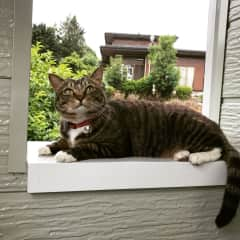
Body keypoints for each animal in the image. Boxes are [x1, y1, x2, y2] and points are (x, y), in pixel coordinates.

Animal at [39, 66, 240, 228]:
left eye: (89, 88)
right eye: (68, 91)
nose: (80, 97)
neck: (80, 124)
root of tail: (216, 126)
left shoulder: (115, 146)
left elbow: (88, 146)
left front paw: (66, 153)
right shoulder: (69, 135)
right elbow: (62, 140)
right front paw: (47, 147)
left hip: (192, 129)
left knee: (218, 149)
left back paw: (197, 156)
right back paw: (181, 154)